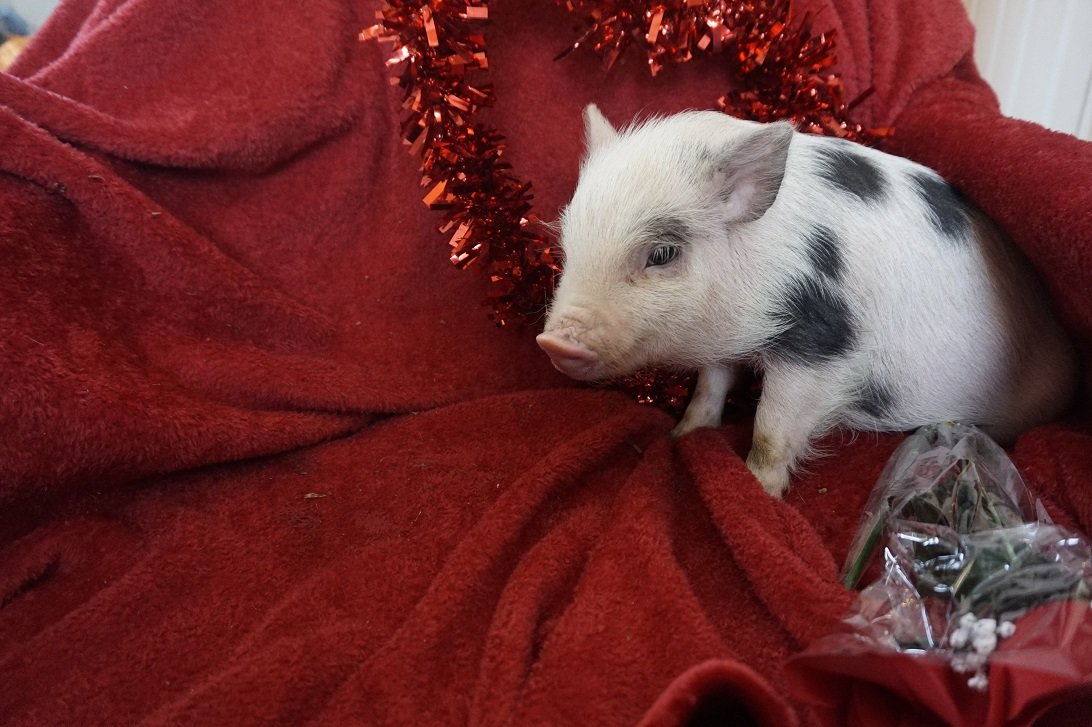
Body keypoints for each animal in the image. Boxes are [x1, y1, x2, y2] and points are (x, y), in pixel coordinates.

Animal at [537, 105, 1077, 497]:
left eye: (662, 253)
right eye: (568, 241)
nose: (553, 342)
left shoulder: (823, 344)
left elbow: (772, 427)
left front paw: (759, 491)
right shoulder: (728, 337)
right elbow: (711, 385)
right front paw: (684, 436)